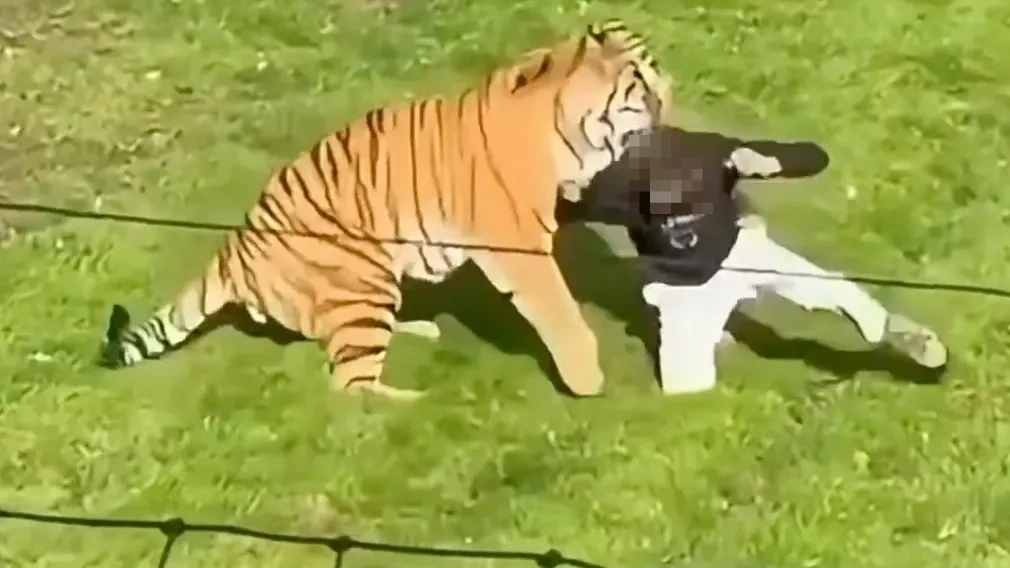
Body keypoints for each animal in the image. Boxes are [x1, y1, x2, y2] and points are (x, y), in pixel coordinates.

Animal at [99, 19, 673, 400]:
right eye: (644, 88)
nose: (671, 105)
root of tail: (234, 248)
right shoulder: (517, 244)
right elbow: (558, 310)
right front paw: (586, 378)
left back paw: (419, 330)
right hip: (362, 275)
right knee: (349, 386)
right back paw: (419, 402)